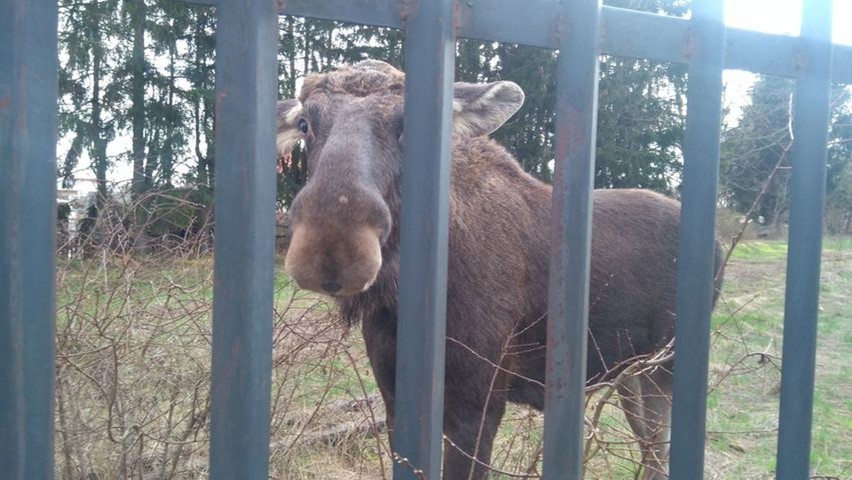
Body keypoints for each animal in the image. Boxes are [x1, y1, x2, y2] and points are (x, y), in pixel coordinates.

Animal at [276, 61, 724, 480]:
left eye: (410, 123)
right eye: (305, 123)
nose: (332, 245)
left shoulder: (479, 401)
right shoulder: (393, 395)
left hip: (664, 366)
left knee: (659, 451)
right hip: (630, 370)